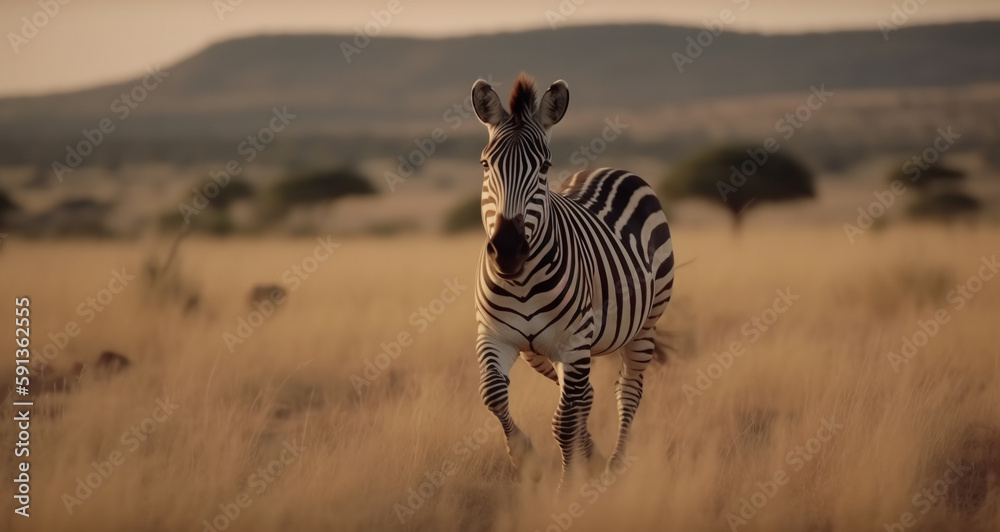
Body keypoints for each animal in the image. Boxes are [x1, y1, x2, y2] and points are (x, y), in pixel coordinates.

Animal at [471, 73, 675, 488]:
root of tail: (610, 169)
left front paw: (566, 490)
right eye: (485, 164)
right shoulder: (494, 335)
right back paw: (593, 458)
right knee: (587, 394)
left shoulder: (574, 342)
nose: (508, 250)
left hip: (643, 326)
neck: (522, 282)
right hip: (541, 353)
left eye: (545, 166)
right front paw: (524, 456)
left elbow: (563, 422)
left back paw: (613, 466)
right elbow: (493, 395)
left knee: (627, 391)